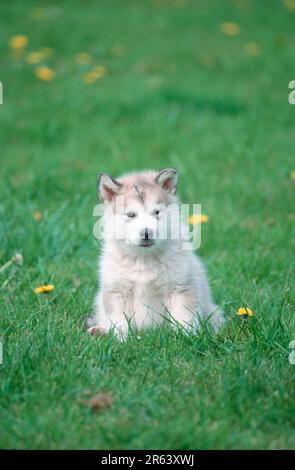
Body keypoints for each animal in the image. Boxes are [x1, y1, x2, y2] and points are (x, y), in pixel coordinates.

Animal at [88, 169, 224, 338]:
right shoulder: (116, 291)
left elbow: (183, 318)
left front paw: (185, 338)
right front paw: (120, 339)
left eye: (157, 212)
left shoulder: (180, 288)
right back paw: (99, 330)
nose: (147, 233)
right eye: (131, 215)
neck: (143, 259)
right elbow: (119, 321)